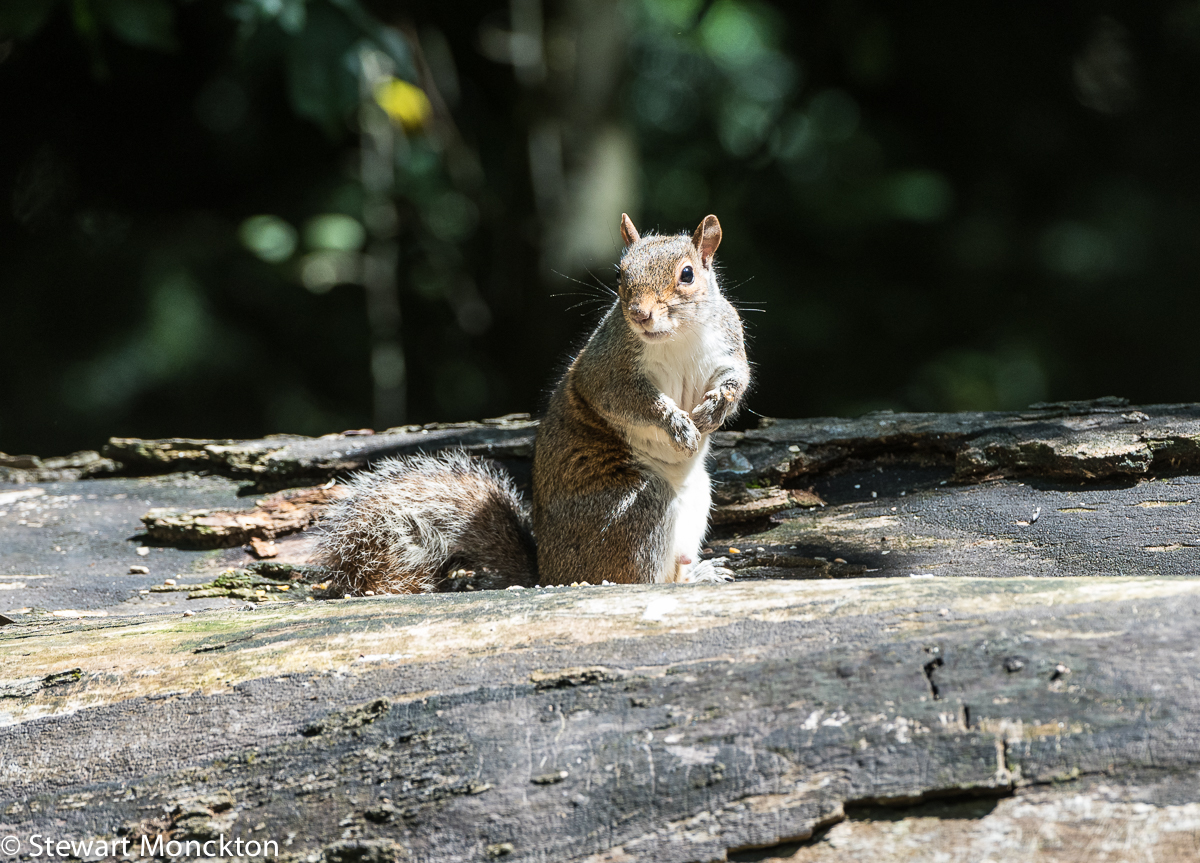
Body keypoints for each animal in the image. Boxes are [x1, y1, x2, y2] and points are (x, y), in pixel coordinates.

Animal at [314, 213, 750, 594]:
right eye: (620, 274)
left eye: (687, 274)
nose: (639, 314)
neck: (677, 337)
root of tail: (549, 572)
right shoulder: (607, 369)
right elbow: (628, 400)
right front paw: (675, 423)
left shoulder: (727, 347)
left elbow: (736, 381)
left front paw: (715, 408)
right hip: (638, 504)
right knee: (642, 575)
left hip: (697, 496)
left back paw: (701, 571)